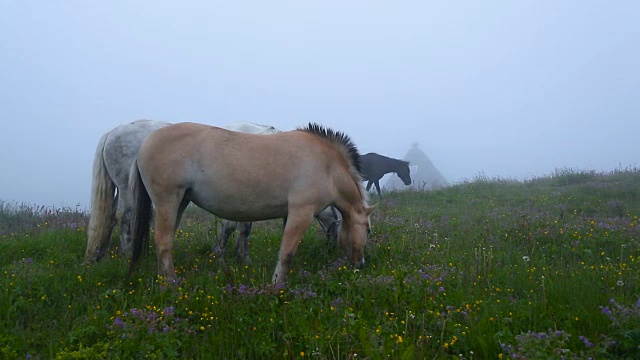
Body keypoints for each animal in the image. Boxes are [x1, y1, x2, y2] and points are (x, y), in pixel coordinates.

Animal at [85, 119, 340, 262]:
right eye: (338, 226)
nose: (332, 251)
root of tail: (111, 133)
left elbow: (240, 227)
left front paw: (234, 254)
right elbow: (236, 228)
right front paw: (230, 254)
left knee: (110, 217)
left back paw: (101, 253)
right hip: (127, 189)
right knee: (123, 217)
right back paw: (127, 251)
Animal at [129, 122, 376, 282]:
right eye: (369, 230)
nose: (361, 265)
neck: (327, 166)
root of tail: (144, 143)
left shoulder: (289, 214)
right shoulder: (302, 212)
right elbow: (287, 253)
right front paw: (276, 286)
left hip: (179, 203)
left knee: (165, 242)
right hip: (167, 201)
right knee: (163, 242)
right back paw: (171, 285)